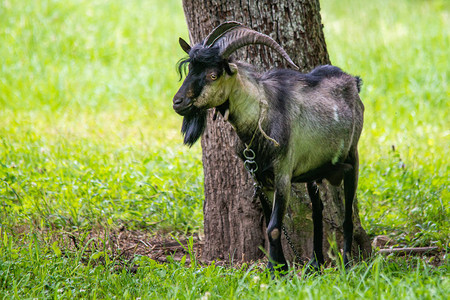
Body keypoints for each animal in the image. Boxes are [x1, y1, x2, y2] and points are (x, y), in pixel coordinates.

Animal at [173, 21, 366, 272]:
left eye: (213, 75)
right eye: (189, 71)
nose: (178, 102)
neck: (260, 116)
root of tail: (353, 81)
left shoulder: (283, 173)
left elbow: (273, 226)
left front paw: (277, 271)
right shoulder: (260, 178)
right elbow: (269, 223)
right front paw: (277, 267)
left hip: (352, 156)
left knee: (347, 214)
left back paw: (347, 262)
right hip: (312, 169)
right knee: (317, 210)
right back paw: (315, 262)